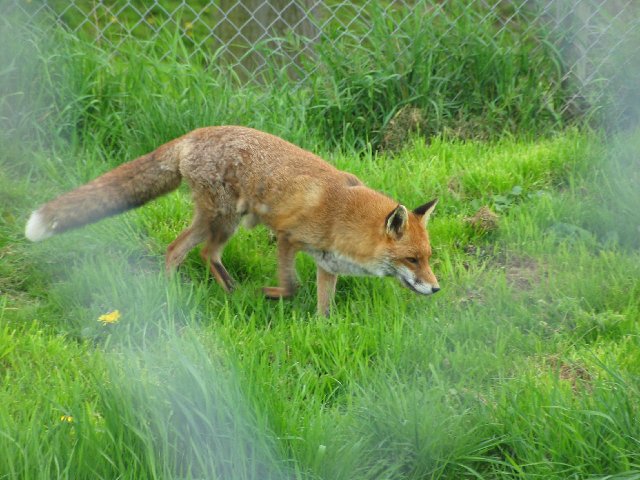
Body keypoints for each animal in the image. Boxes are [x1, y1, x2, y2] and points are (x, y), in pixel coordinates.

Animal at [25, 125, 440, 316]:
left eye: (429, 258)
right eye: (412, 260)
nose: (436, 289)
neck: (341, 213)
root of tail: (194, 134)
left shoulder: (327, 264)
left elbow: (324, 309)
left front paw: (323, 330)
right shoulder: (288, 238)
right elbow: (292, 287)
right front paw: (270, 294)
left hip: (219, 221)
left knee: (185, 251)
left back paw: (196, 292)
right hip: (223, 221)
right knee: (196, 253)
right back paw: (213, 293)